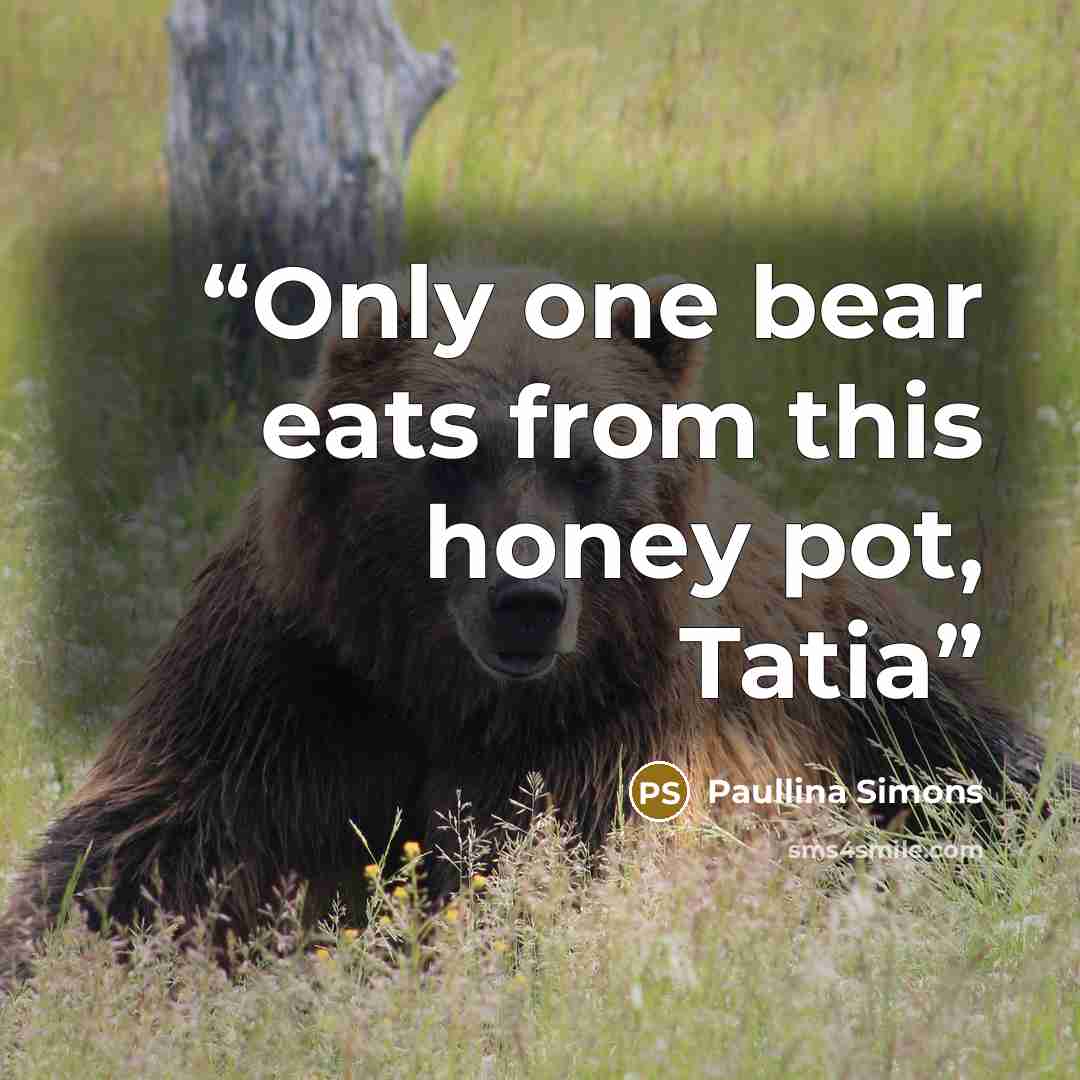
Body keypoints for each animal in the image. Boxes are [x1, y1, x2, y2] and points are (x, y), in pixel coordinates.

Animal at [0, 263, 1066, 990]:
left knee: (991, 769)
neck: (449, 694)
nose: (527, 600)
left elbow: (554, 865)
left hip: (855, 662)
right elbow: (143, 848)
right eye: (452, 456)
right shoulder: (290, 681)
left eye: (586, 462)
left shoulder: (619, 716)